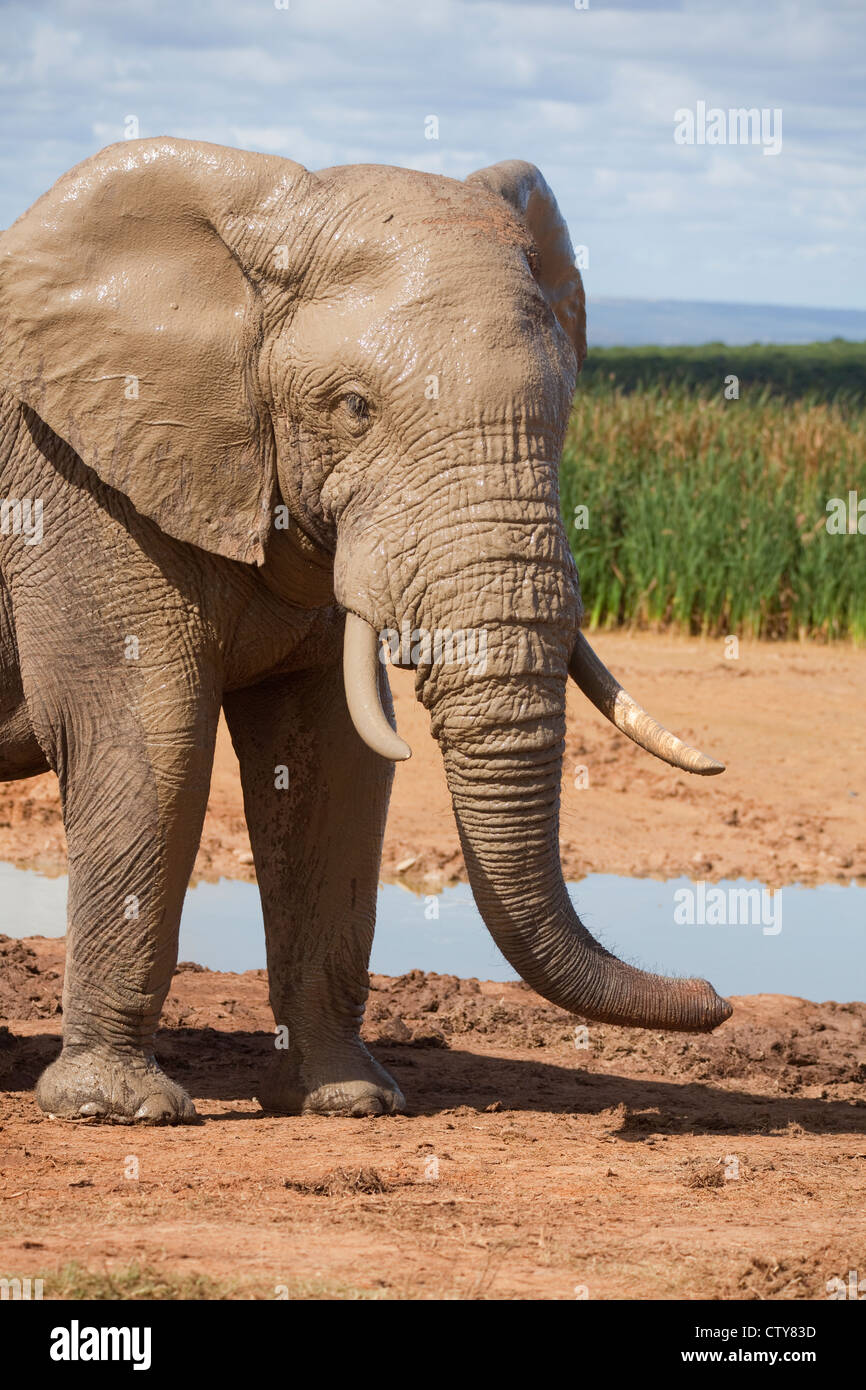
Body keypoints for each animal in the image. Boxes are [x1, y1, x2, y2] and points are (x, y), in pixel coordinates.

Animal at [0, 138, 730, 1124]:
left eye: (566, 408)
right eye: (352, 407)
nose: (715, 996)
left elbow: (333, 763)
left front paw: (353, 1100)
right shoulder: (70, 479)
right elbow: (147, 735)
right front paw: (121, 1110)